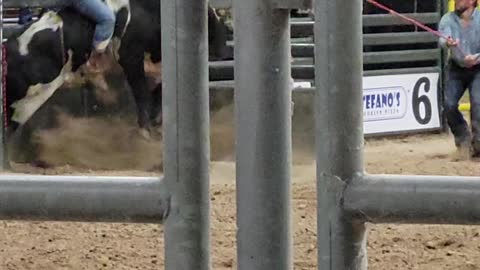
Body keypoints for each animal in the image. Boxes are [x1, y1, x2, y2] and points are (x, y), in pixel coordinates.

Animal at [3, 0, 229, 138]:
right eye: (213, 22)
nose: (222, 51)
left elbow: (157, 92)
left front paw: (155, 123)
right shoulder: (131, 57)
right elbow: (141, 93)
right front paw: (145, 130)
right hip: (25, 100)